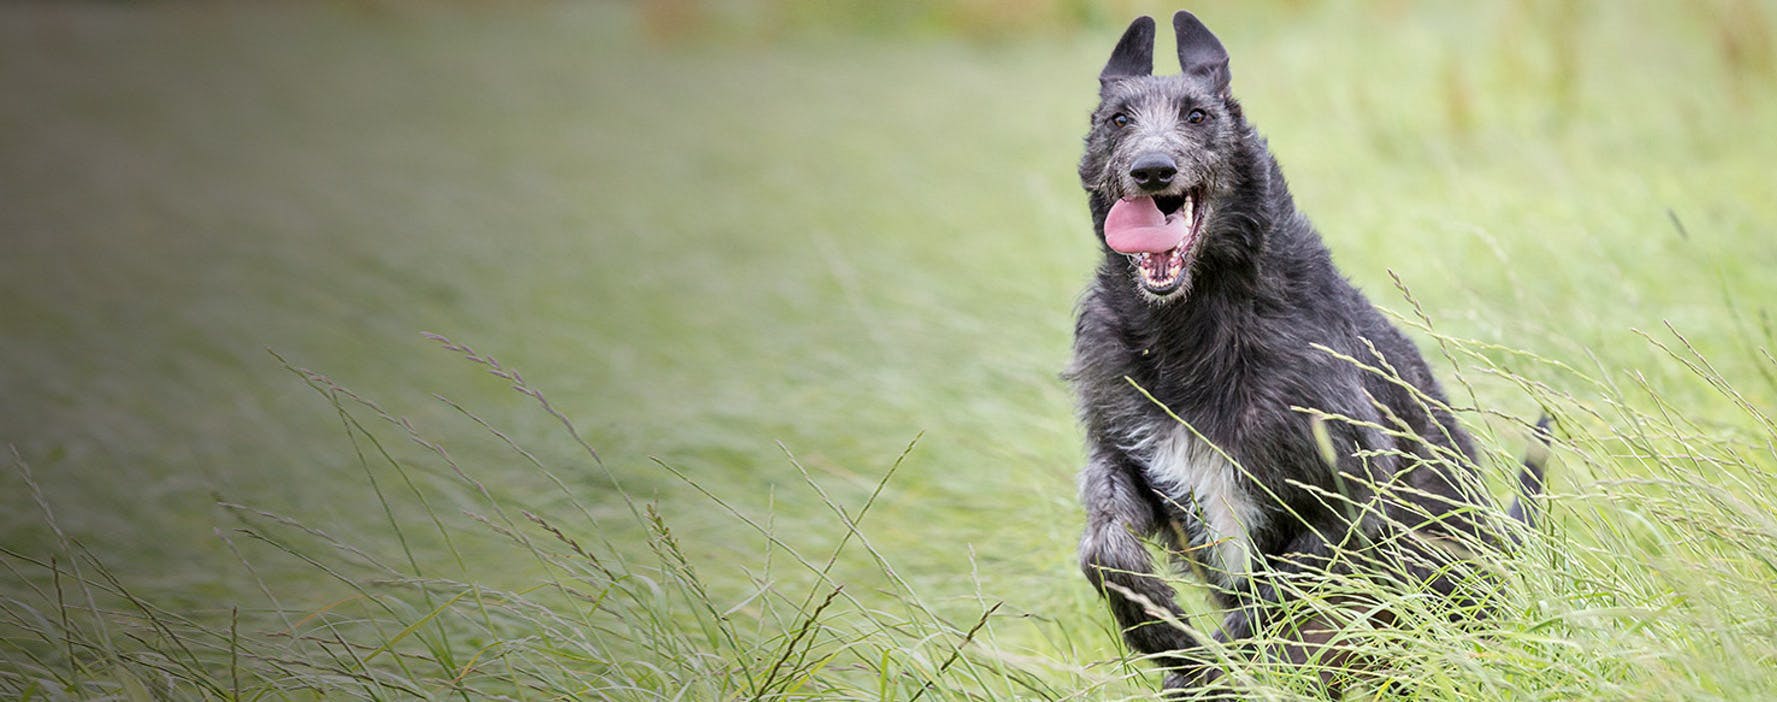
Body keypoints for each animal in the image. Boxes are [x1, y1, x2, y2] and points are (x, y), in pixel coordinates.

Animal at [1059, 10, 1549, 696]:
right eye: (1118, 119)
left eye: (1198, 116)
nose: (1152, 170)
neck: (1198, 318)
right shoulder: (1125, 449)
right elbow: (1105, 546)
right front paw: (1162, 633)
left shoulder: (1351, 489)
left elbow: (1275, 595)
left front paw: (1213, 662)